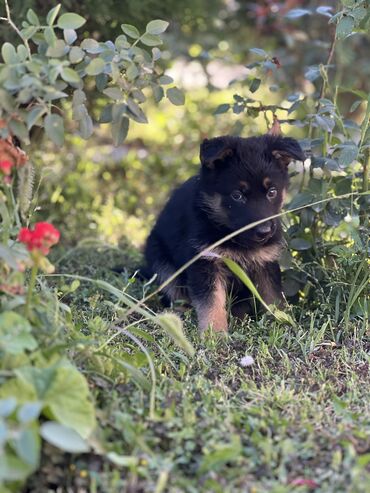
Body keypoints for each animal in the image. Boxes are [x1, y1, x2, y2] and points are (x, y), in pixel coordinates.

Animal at [144, 134, 304, 330]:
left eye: (272, 192)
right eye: (237, 195)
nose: (264, 232)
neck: (233, 236)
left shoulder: (265, 261)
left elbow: (273, 297)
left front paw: (282, 321)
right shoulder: (206, 261)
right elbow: (211, 302)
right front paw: (214, 332)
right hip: (161, 260)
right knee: (174, 292)